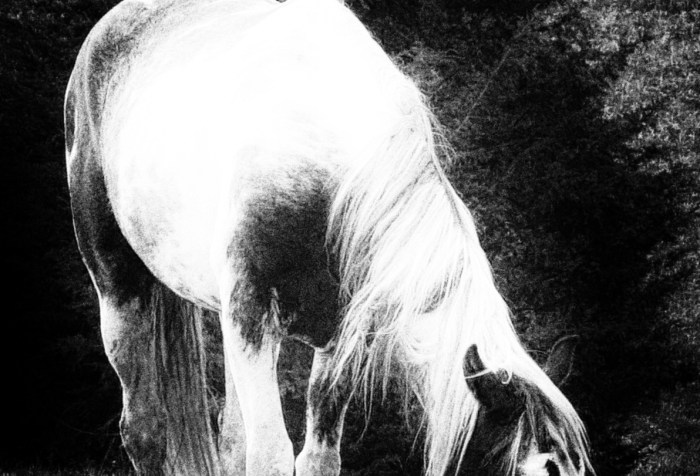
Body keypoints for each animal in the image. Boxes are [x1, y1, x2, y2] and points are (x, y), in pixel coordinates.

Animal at [64, 0, 592, 474]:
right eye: (544, 467)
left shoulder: (337, 339)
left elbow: (317, 457)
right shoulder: (253, 314)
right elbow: (271, 456)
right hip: (120, 285)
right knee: (145, 430)